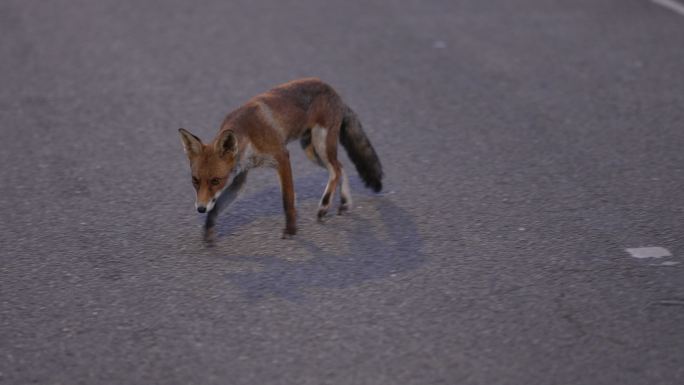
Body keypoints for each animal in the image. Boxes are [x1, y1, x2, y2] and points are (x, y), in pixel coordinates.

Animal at [179, 78, 382, 238]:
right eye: (195, 180)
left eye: (215, 181)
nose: (200, 208)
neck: (249, 136)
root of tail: (335, 92)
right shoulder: (240, 176)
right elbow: (219, 206)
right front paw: (208, 230)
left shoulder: (282, 157)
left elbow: (287, 199)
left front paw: (291, 230)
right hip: (312, 152)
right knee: (340, 167)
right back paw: (344, 202)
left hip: (321, 145)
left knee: (336, 169)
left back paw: (325, 205)